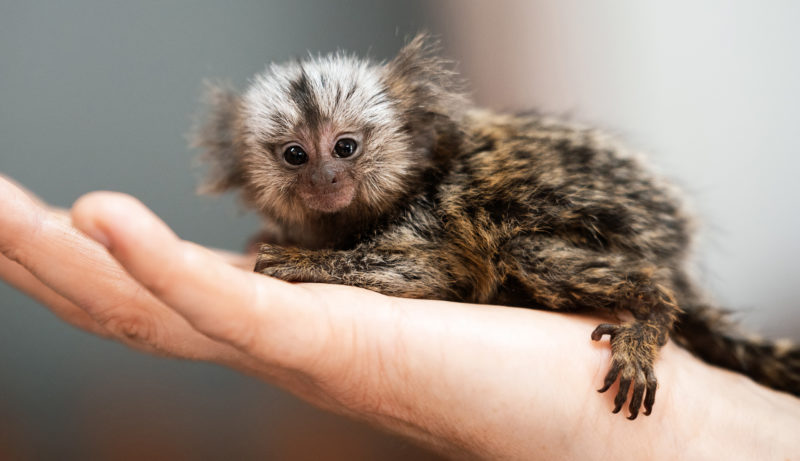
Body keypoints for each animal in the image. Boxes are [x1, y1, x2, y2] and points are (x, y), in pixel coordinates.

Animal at [195, 34, 800, 418]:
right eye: (295, 155)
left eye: (345, 148)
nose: (325, 179)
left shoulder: (428, 220)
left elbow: (425, 273)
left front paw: (302, 261)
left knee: (525, 251)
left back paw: (649, 314)